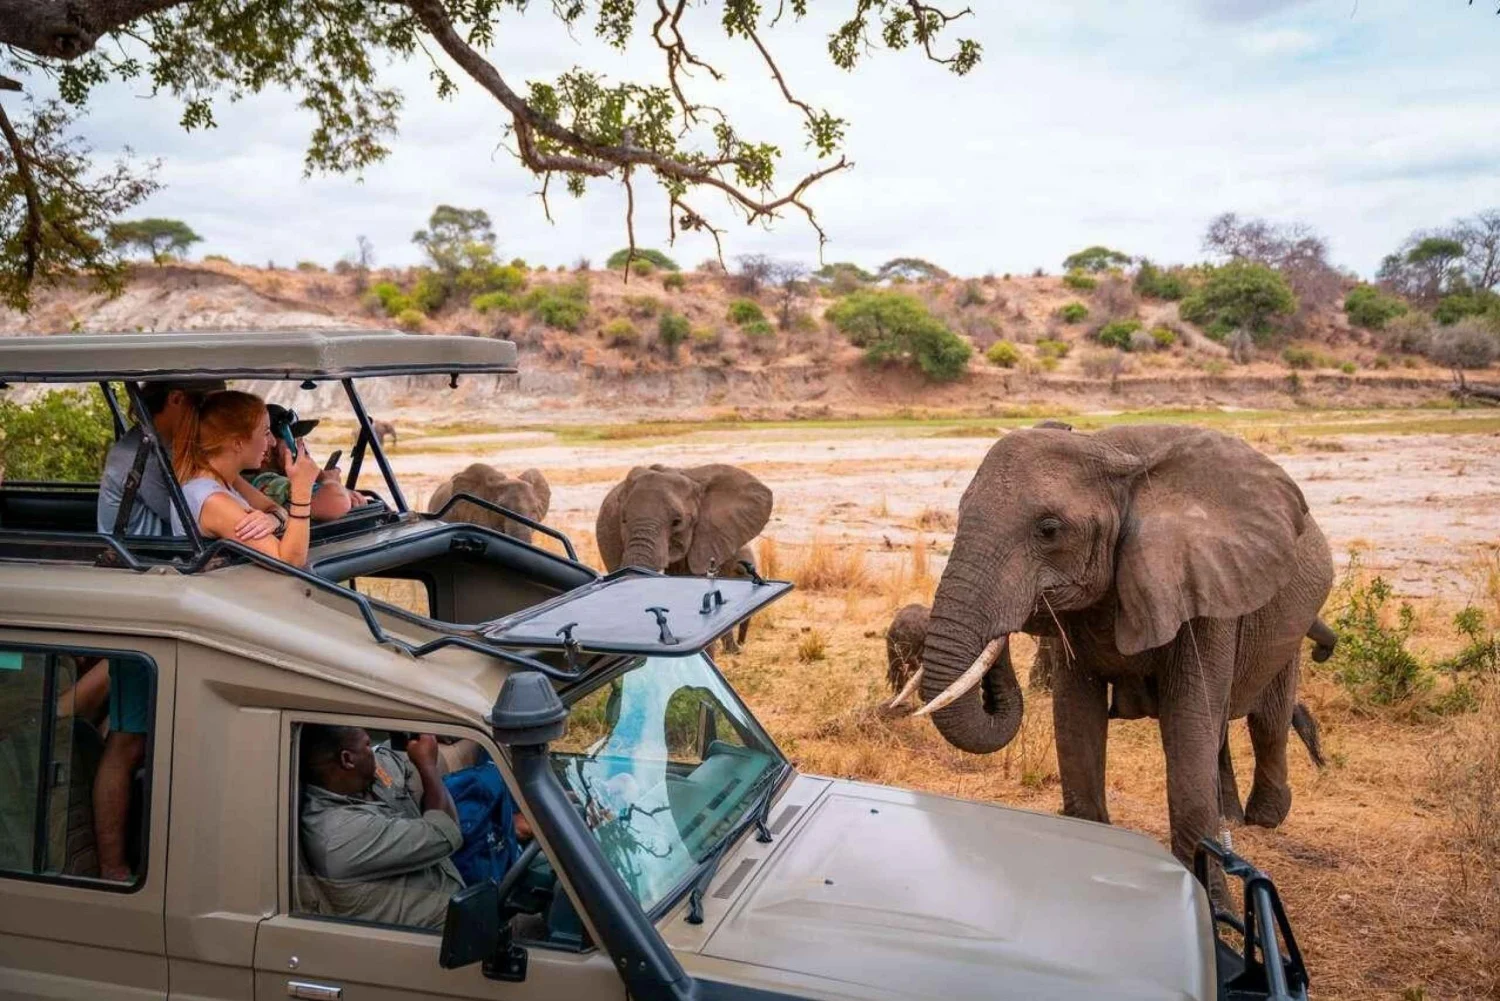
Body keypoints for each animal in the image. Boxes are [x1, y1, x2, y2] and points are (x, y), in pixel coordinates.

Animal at [909, 423, 1334, 871]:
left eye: (1049, 530)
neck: (1112, 454)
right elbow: (1076, 721)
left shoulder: (1204, 587)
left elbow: (1188, 725)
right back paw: (1232, 817)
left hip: (1289, 618)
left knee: (1268, 719)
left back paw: (1264, 818)